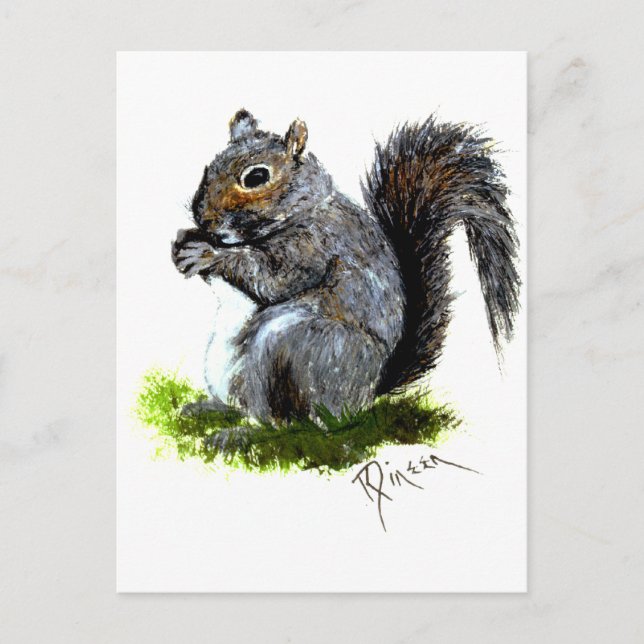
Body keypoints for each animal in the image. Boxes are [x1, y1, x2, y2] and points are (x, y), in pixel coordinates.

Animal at [172, 109, 520, 422]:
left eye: (256, 177)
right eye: (210, 167)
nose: (204, 217)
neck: (304, 209)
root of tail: (366, 395)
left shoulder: (315, 246)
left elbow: (271, 279)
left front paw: (209, 254)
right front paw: (185, 244)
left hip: (299, 346)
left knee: (288, 421)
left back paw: (243, 433)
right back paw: (209, 409)